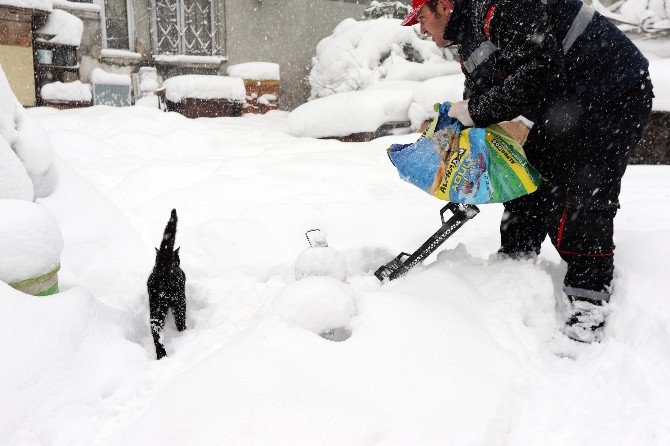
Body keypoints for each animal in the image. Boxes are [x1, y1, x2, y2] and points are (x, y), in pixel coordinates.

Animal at [148, 209, 186, 358]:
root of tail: (162, 269)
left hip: (155, 308)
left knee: (156, 331)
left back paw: (161, 355)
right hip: (179, 300)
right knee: (180, 320)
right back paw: (184, 332)